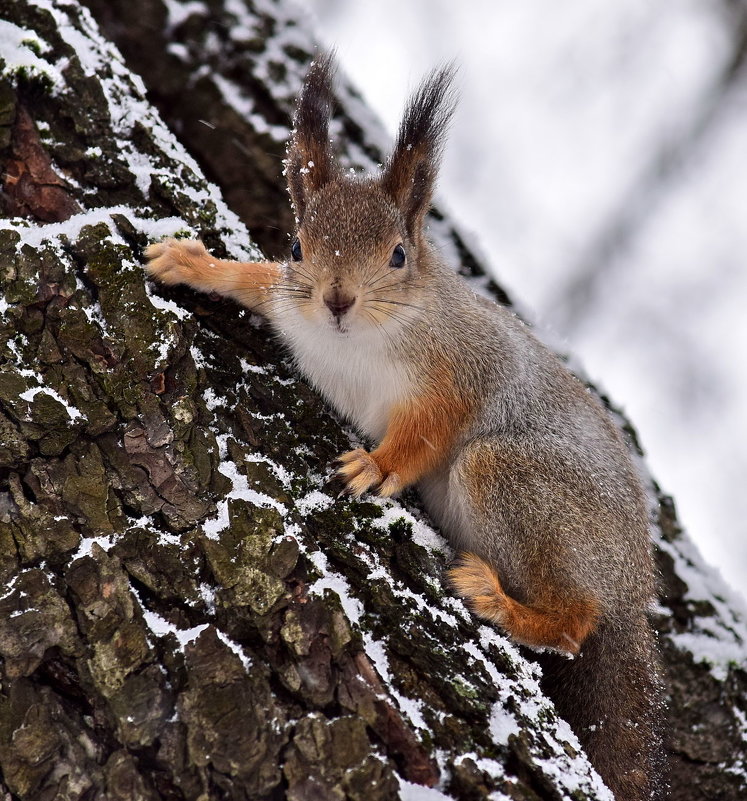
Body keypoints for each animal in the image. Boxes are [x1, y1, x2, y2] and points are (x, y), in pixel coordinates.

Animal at [146, 56, 668, 800]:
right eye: (299, 243)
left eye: (397, 255)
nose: (336, 299)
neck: (357, 341)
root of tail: (632, 590)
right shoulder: (293, 304)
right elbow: (261, 281)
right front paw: (195, 263)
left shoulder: (459, 371)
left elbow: (425, 434)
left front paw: (377, 464)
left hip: (518, 484)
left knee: (574, 624)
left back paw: (502, 601)